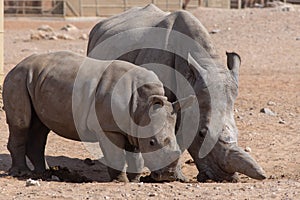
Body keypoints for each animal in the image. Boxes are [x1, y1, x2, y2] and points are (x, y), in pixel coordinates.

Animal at [2, 50, 195, 182]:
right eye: (152, 142)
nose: (168, 176)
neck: (142, 103)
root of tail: (16, 65)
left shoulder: (133, 125)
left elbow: (136, 155)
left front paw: (135, 180)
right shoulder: (108, 128)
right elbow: (116, 155)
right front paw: (120, 181)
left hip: (36, 80)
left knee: (40, 128)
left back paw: (44, 173)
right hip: (18, 78)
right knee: (22, 124)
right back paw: (22, 173)